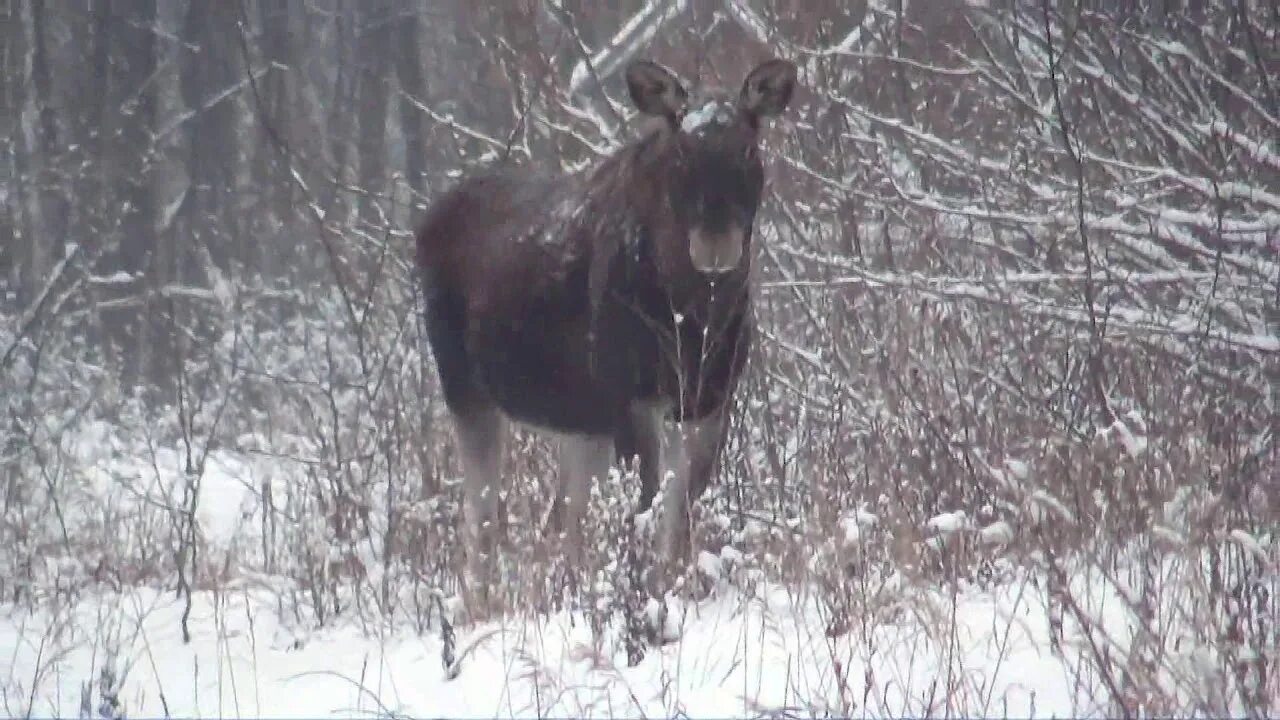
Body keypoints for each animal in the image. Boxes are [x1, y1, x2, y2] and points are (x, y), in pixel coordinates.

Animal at [419, 54, 793, 594]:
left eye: (748, 147)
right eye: (681, 152)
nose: (715, 243)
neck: (694, 317)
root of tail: (426, 220)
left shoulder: (709, 400)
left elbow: (677, 521)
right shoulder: (630, 396)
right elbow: (643, 510)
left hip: (578, 420)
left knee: (563, 521)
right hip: (468, 390)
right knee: (482, 526)